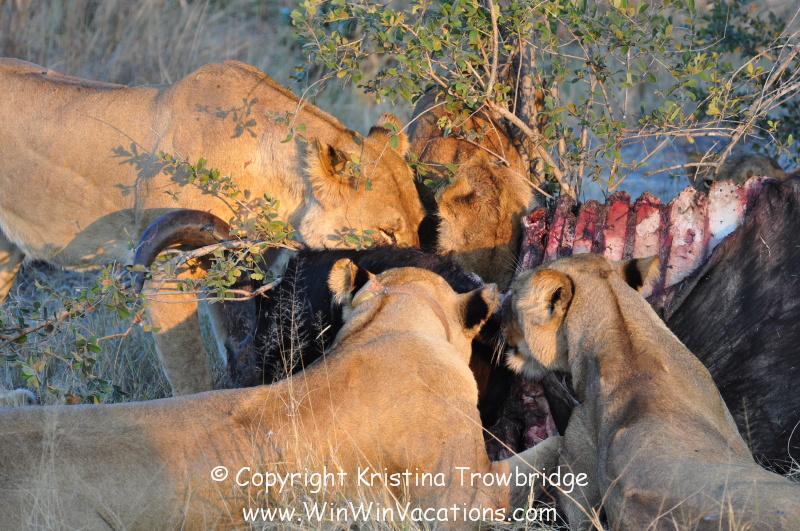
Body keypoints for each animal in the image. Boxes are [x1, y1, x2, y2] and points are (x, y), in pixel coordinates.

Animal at [0, 58, 425, 396]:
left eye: (421, 222)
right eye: (387, 232)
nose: (419, 271)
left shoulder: (239, 267)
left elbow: (239, 345)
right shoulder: (166, 273)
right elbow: (191, 377)